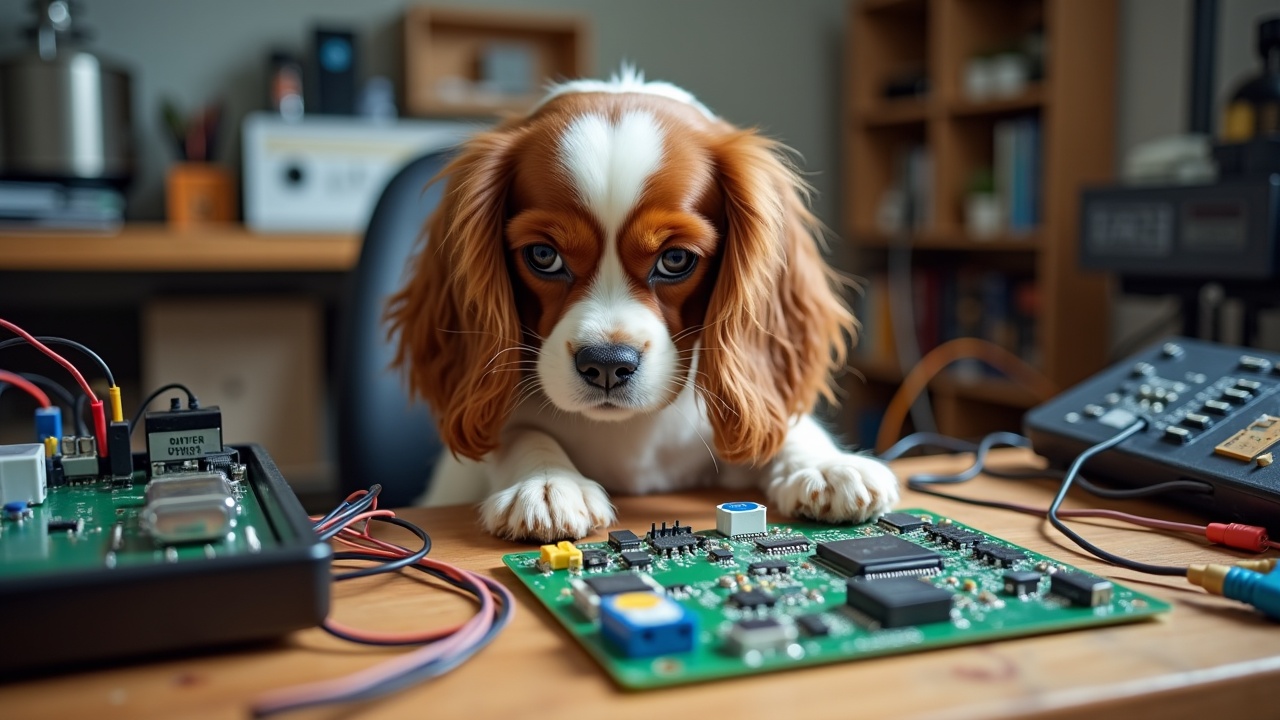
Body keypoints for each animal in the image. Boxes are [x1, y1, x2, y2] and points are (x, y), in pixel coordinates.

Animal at [384, 68, 896, 538]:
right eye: (544, 256)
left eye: (675, 259)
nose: (607, 364)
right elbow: (516, 432)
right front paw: (546, 483)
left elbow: (784, 429)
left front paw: (826, 465)